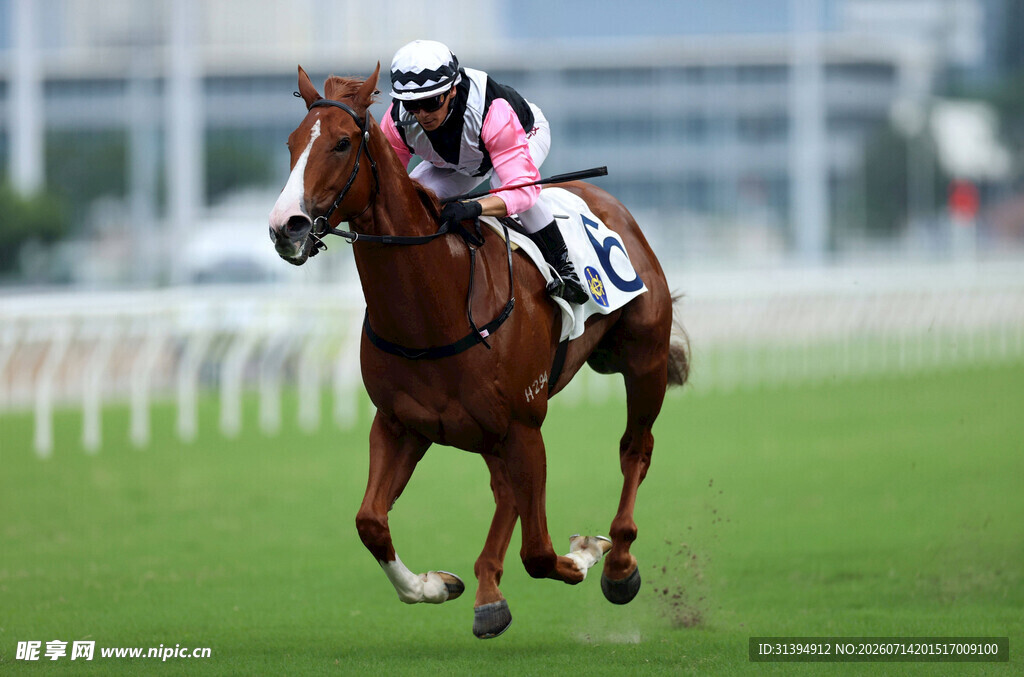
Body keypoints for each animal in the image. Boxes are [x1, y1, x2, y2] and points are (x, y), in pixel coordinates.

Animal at [268, 63, 689, 639]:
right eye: (291, 144)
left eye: (341, 143)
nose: (285, 226)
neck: (435, 309)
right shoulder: (401, 423)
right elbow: (370, 521)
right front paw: (435, 585)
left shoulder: (524, 424)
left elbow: (541, 552)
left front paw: (586, 550)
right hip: (488, 431)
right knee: (505, 490)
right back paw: (489, 592)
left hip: (642, 361)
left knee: (634, 450)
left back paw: (619, 562)